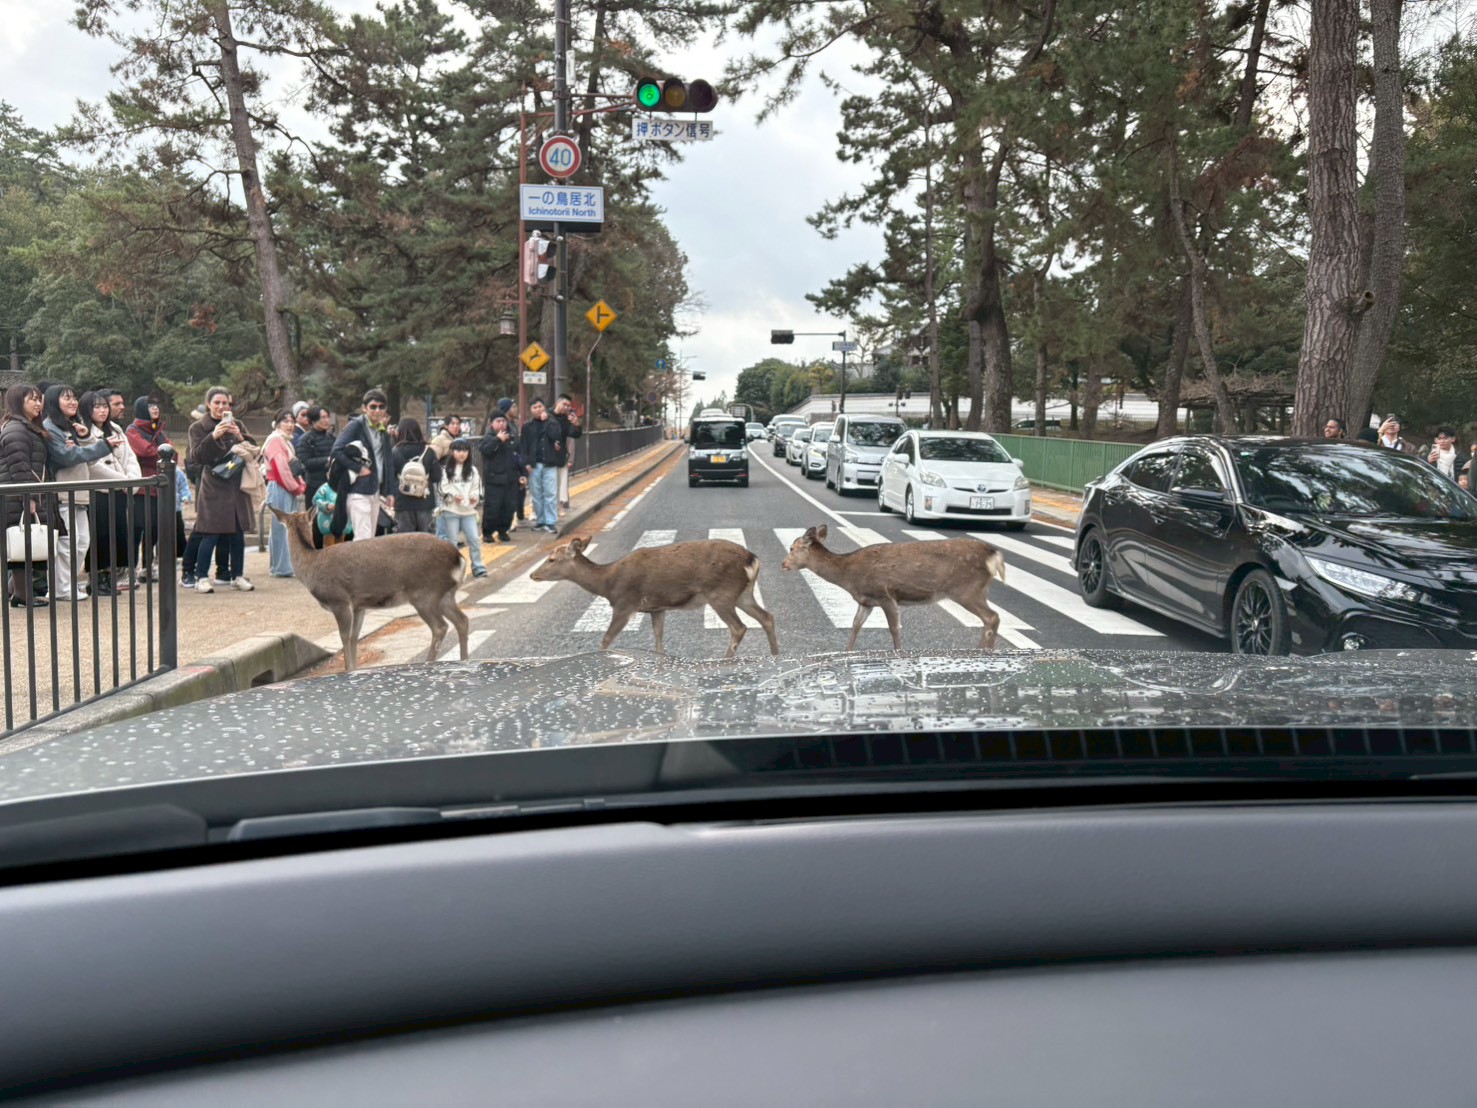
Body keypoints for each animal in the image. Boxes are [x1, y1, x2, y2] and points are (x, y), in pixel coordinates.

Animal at [270, 508, 470, 673]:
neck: (310, 567)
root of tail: (459, 558)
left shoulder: (339, 600)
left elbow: (344, 636)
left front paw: (348, 670)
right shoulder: (360, 605)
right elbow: (354, 637)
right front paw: (355, 669)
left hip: (424, 593)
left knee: (440, 626)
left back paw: (429, 662)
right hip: (445, 595)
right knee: (462, 620)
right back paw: (464, 660)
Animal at [530, 535, 780, 659]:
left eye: (551, 559)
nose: (533, 574)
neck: (608, 583)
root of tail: (752, 560)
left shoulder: (625, 604)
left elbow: (606, 640)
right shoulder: (656, 608)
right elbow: (658, 639)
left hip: (720, 593)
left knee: (739, 627)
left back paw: (726, 661)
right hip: (743, 594)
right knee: (767, 617)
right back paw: (776, 655)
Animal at [782, 524, 1006, 651]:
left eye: (792, 548)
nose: (783, 564)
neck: (848, 575)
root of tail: (994, 555)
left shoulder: (885, 595)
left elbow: (894, 629)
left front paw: (898, 653)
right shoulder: (866, 601)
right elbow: (855, 625)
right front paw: (846, 653)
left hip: (966, 589)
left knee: (992, 617)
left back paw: (981, 652)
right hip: (977, 590)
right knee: (991, 618)